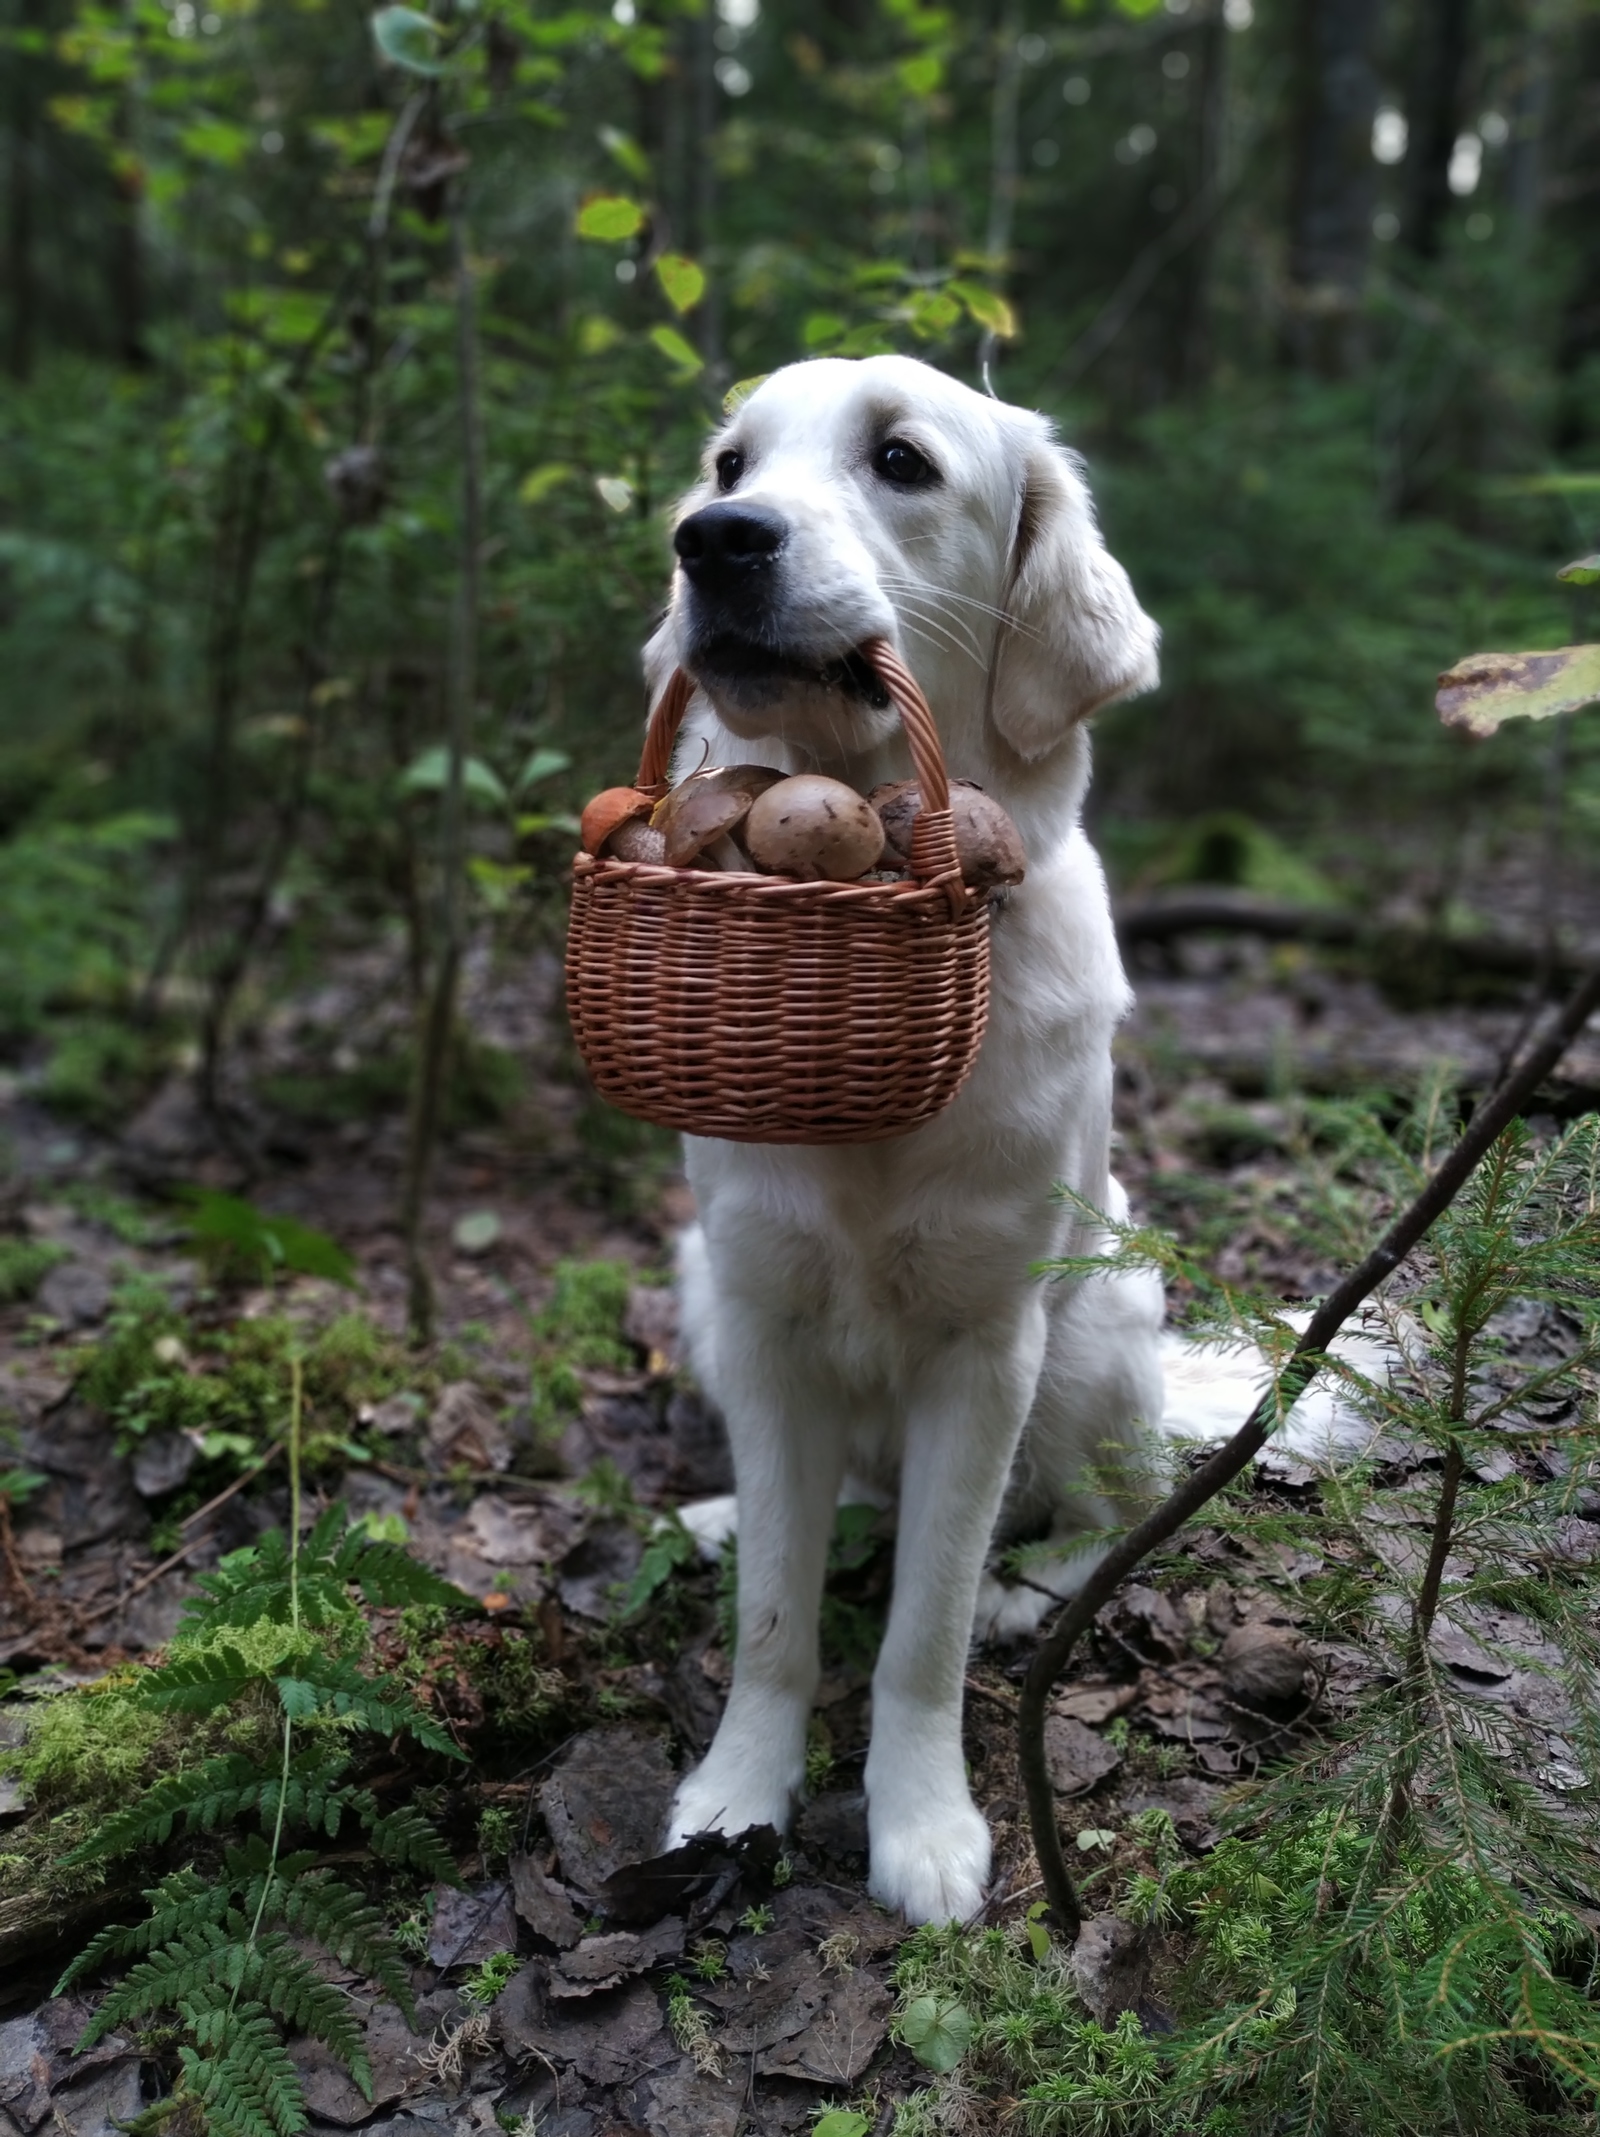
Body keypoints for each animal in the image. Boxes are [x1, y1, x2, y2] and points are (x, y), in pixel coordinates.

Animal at [645, 359, 1162, 1931]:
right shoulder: (760, 1312)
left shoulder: (986, 1348)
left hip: (1106, 1313)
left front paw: (921, 1821)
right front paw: (733, 1798)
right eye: (729, 461)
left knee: (1112, 1502)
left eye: (901, 462)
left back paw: (1029, 1584)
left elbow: (918, 1629)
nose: (714, 539)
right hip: (700, 1290)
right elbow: (775, 1617)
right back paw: (710, 1513)